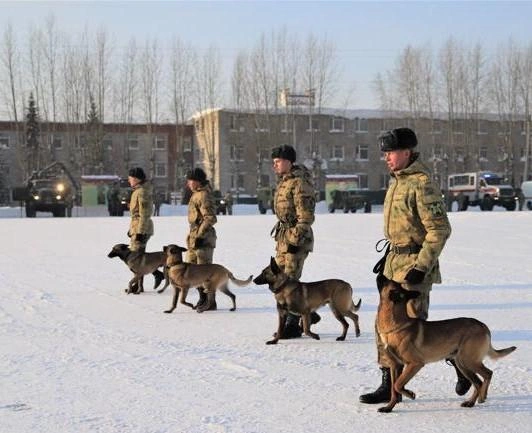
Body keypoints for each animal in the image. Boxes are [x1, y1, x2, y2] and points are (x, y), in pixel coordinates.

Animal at [374, 280, 516, 412]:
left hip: (468, 361)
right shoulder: (395, 365)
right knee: (478, 381)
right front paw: (389, 407)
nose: (380, 274)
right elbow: (394, 389)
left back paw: (478, 399)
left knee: (486, 375)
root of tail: (483, 325)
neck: (395, 326)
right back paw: (474, 401)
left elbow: (398, 385)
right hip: (462, 363)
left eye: (387, 282)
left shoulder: (415, 364)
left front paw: (410, 394)